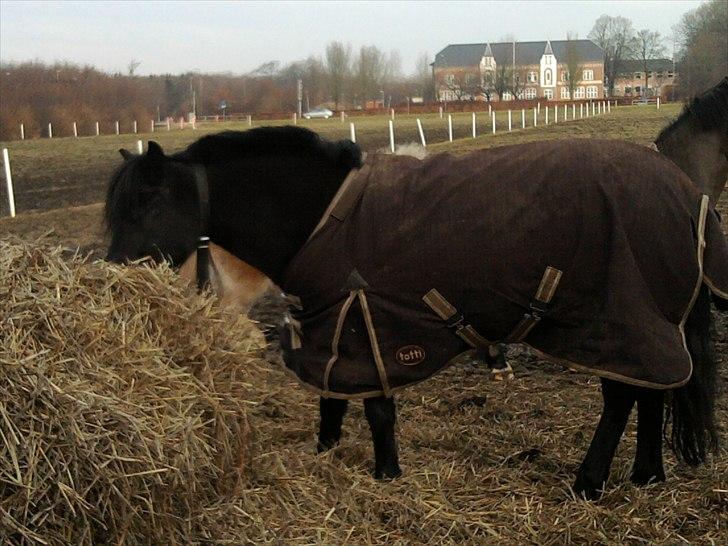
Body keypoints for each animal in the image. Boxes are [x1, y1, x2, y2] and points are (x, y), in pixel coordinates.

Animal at [105, 83, 728, 501]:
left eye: (148, 204)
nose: (114, 279)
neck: (325, 214)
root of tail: (683, 188)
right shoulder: (336, 319)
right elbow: (332, 396)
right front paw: (327, 452)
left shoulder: (372, 319)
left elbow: (377, 408)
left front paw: (386, 473)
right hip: (646, 318)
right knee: (651, 390)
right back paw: (646, 473)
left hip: (612, 317)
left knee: (623, 396)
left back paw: (590, 481)